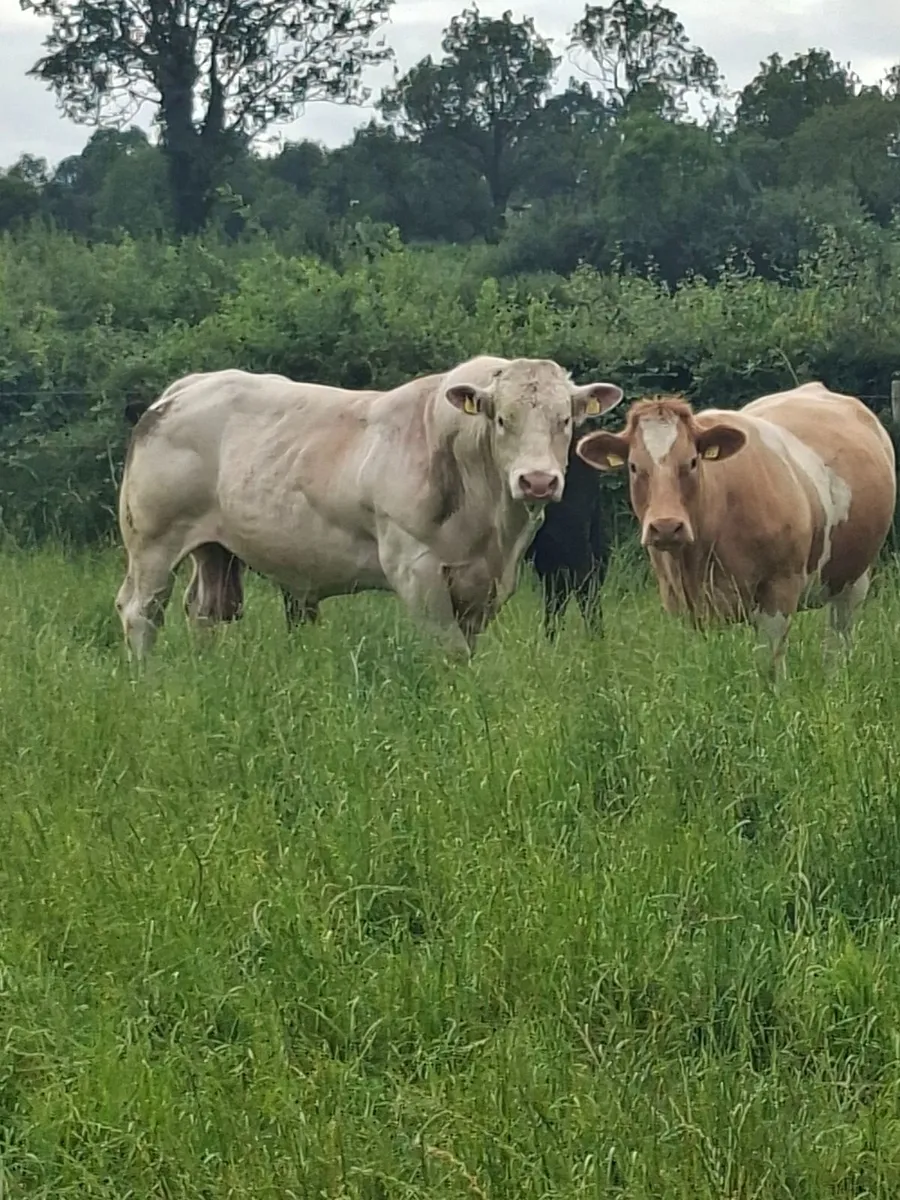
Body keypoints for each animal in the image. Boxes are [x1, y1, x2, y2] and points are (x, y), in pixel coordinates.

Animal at [115, 358, 624, 661]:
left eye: (565, 420)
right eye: (502, 419)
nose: (537, 481)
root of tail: (187, 387)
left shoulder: (488, 581)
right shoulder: (415, 569)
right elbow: (451, 650)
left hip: (215, 548)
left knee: (205, 610)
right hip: (153, 540)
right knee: (141, 610)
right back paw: (150, 680)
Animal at [574, 382, 896, 678]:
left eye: (692, 461)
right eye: (633, 466)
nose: (666, 527)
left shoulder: (779, 589)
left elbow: (770, 665)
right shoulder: (681, 602)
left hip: (853, 576)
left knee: (838, 637)